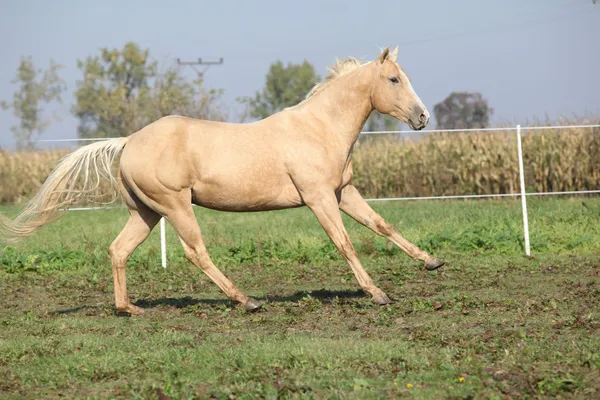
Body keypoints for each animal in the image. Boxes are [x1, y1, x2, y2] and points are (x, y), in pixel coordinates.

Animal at [0, 47, 440, 314]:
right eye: (394, 80)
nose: (422, 118)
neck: (319, 128)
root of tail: (128, 142)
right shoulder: (319, 198)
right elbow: (345, 242)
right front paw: (378, 293)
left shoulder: (343, 192)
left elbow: (382, 224)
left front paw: (432, 261)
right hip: (175, 205)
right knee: (196, 252)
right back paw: (246, 300)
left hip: (146, 212)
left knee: (118, 250)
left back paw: (129, 309)